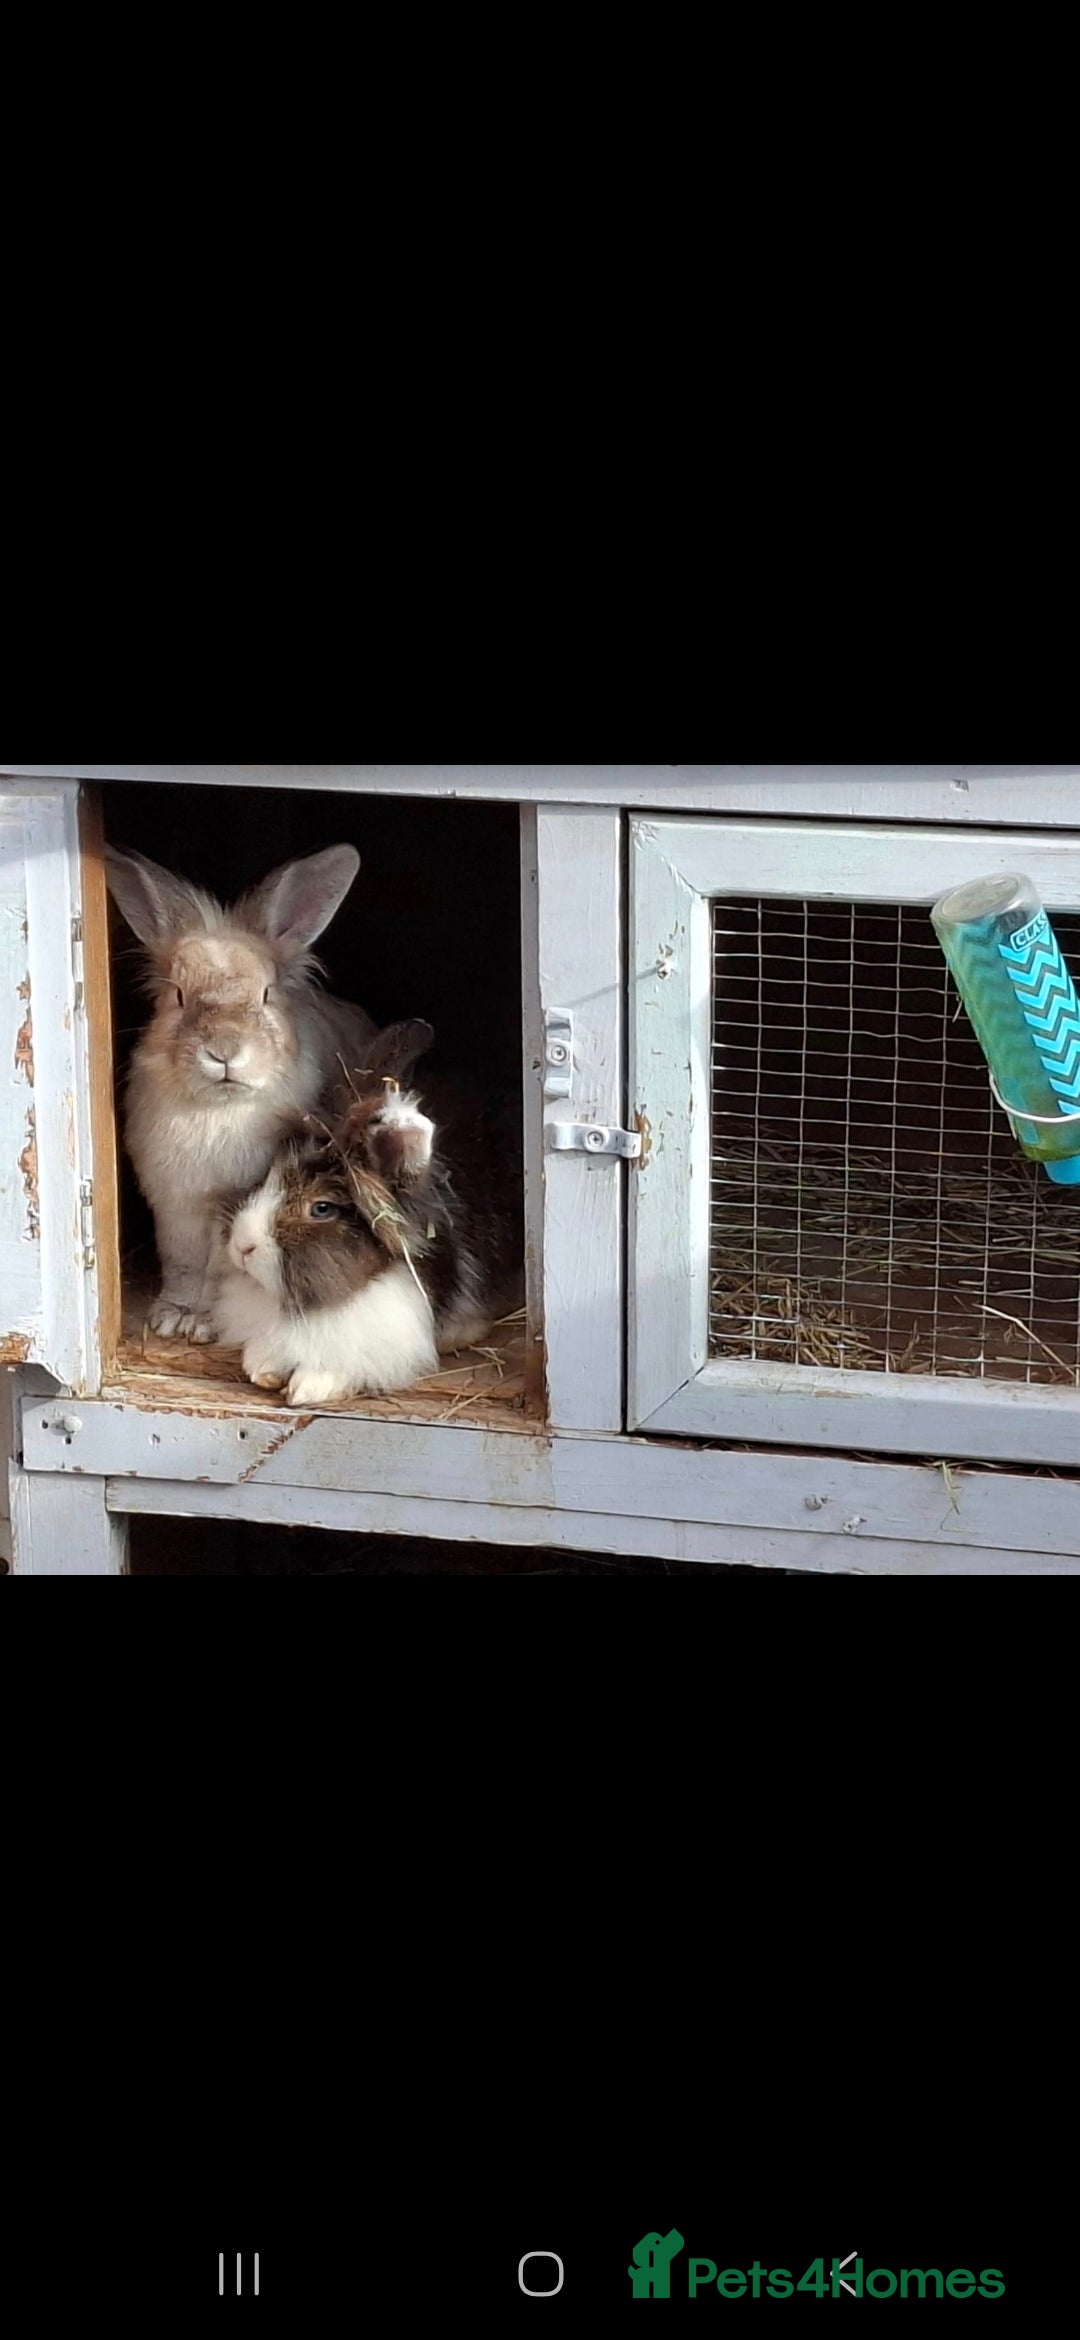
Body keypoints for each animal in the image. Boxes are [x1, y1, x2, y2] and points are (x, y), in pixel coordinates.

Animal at [104, 840, 376, 1342]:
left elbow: (217, 1267)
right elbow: (182, 1263)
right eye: (178, 997)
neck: (217, 1107)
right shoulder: (175, 1206)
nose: (224, 1050)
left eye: (267, 994)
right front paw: (171, 1316)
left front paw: (203, 1323)